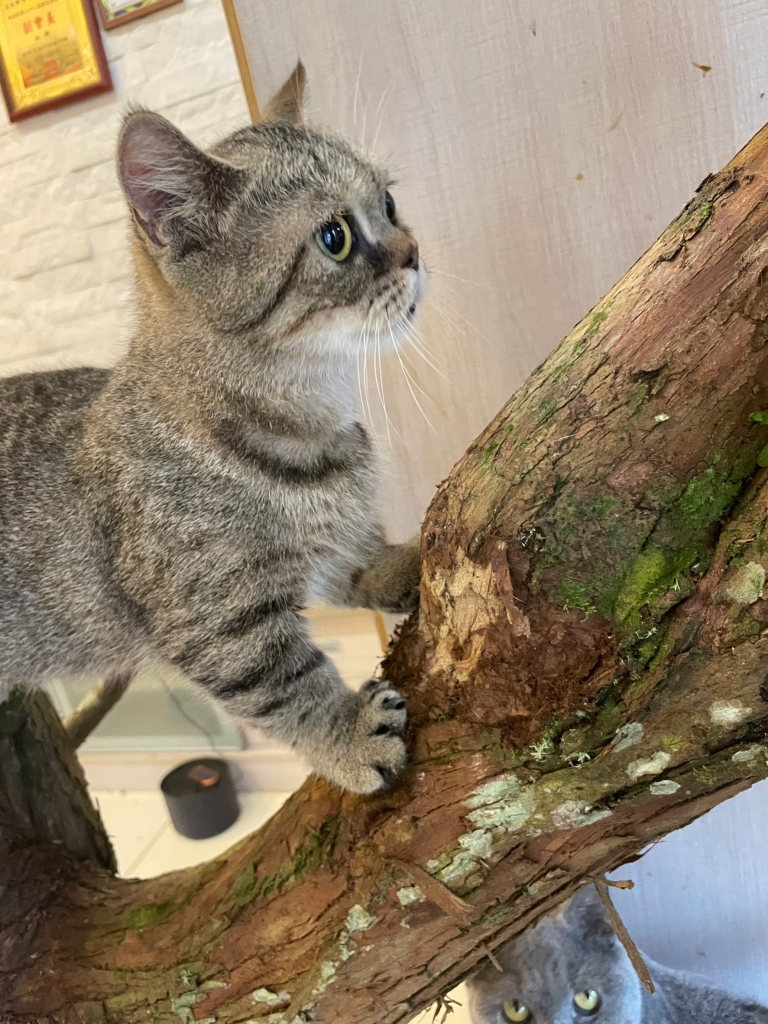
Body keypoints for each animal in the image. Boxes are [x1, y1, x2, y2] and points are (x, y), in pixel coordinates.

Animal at [0, 63, 426, 794]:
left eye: (390, 201)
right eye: (335, 237)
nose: (417, 251)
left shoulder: (321, 548)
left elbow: (350, 559)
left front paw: (403, 559)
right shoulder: (219, 624)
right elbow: (289, 684)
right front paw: (344, 733)